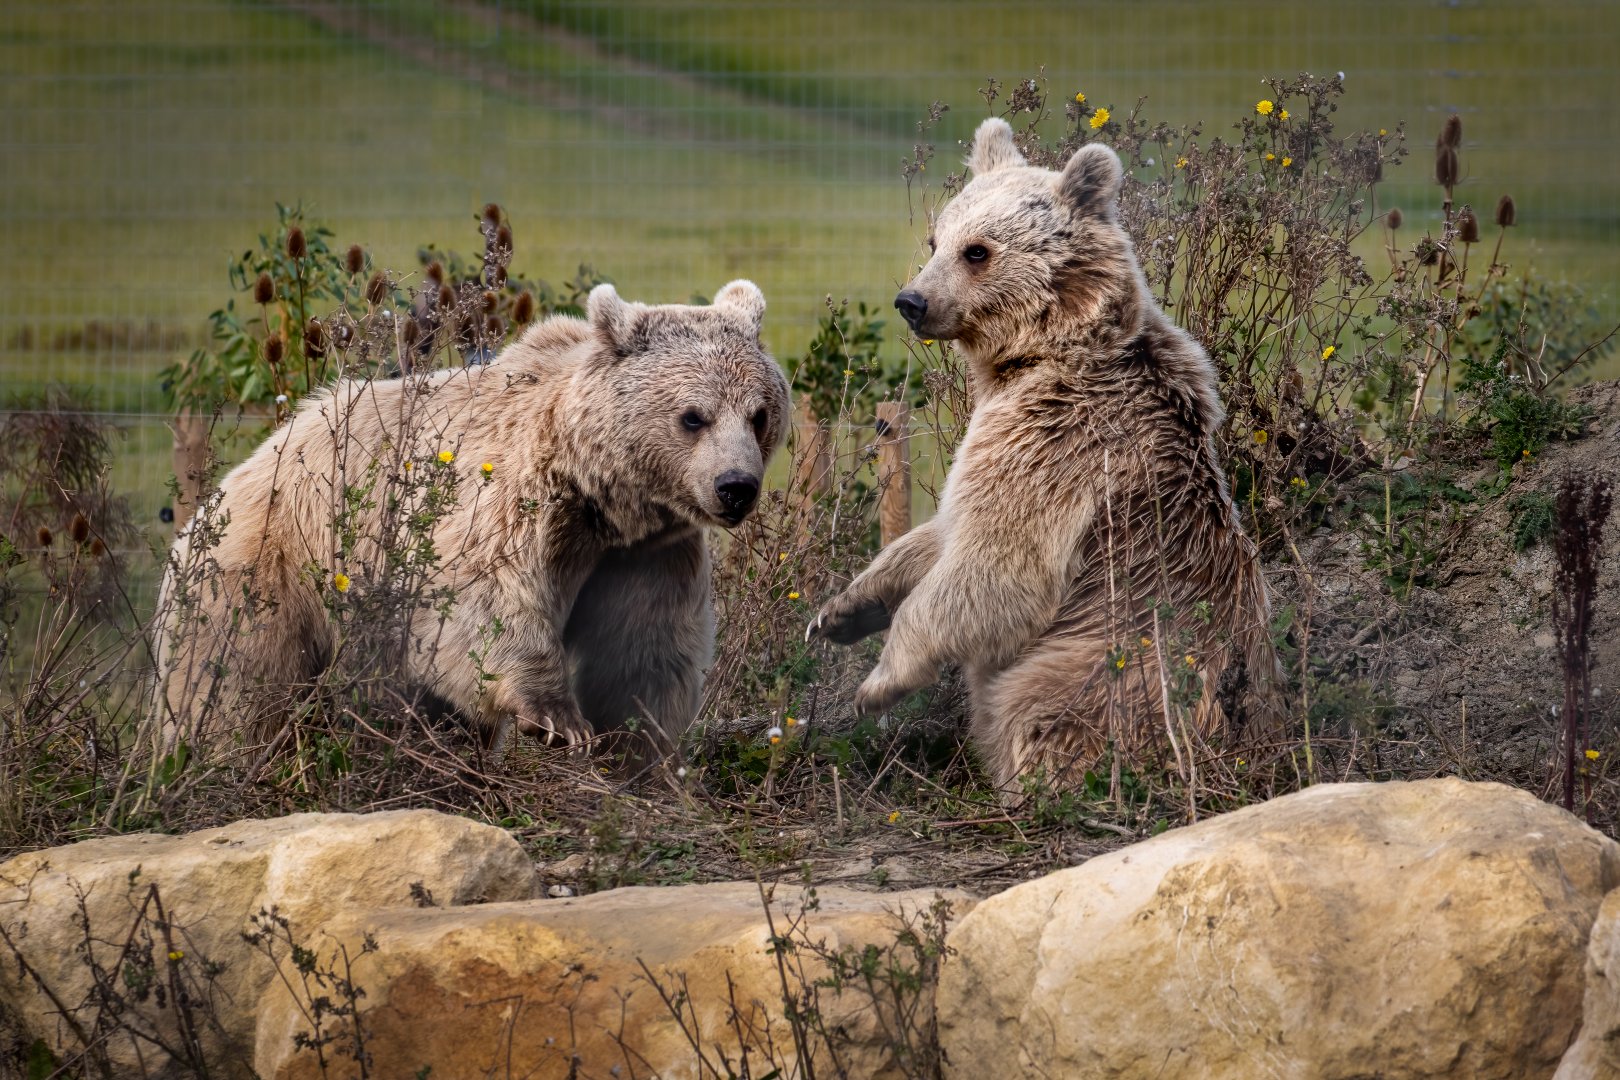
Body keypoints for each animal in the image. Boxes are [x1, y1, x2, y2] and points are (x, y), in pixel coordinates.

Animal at [157, 280, 790, 757]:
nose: (736, 487)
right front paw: (559, 718)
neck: (601, 499)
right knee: (236, 682)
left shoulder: (646, 551)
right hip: (267, 570)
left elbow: (644, 650)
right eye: (693, 417)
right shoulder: (508, 503)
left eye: (758, 414)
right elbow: (484, 605)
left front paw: (637, 745)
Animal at [809, 117, 1283, 794]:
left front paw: (876, 685)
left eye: (977, 251)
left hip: (1115, 663)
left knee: (1042, 707)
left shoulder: (1056, 443)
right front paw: (840, 611)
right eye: (936, 237)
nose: (912, 301)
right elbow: (942, 531)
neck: (1041, 354)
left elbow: (1000, 564)